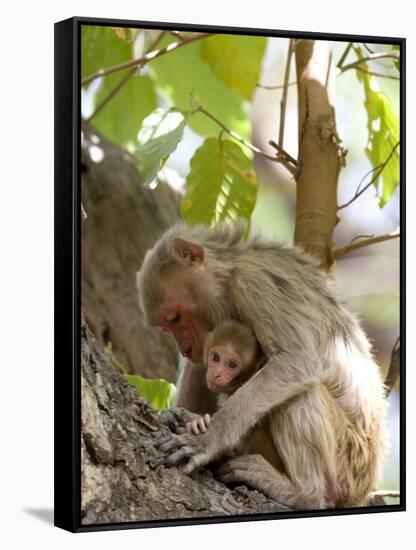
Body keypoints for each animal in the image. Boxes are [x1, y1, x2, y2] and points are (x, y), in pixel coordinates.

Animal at [138, 222, 388, 512]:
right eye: (166, 326)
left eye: (174, 317)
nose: (184, 348)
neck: (231, 272)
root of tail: (365, 486)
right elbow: (202, 367)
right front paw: (189, 419)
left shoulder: (254, 285)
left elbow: (298, 361)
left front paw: (209, 439)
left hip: (347, 461)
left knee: (300, 393)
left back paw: (305, 494)